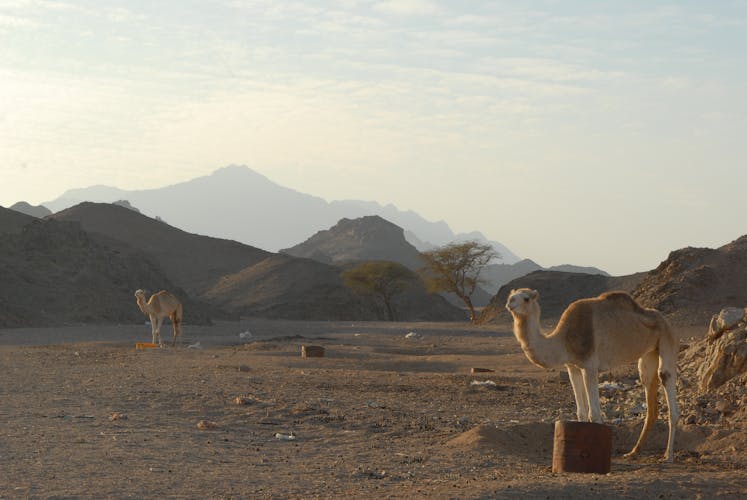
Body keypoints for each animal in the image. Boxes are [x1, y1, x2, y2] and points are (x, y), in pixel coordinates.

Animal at [506, 288, 680, 462]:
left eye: (526, 298)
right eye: (511, 296)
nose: (510, 303)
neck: (563, 340)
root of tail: (665, 319)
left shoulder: (590, 366)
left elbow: (594, 414)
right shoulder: (572, 367)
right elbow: (581, 413)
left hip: (667, 339)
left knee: (666, 379)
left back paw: (668, 455)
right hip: (649, 354)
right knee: (650, 394)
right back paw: (633, 451)